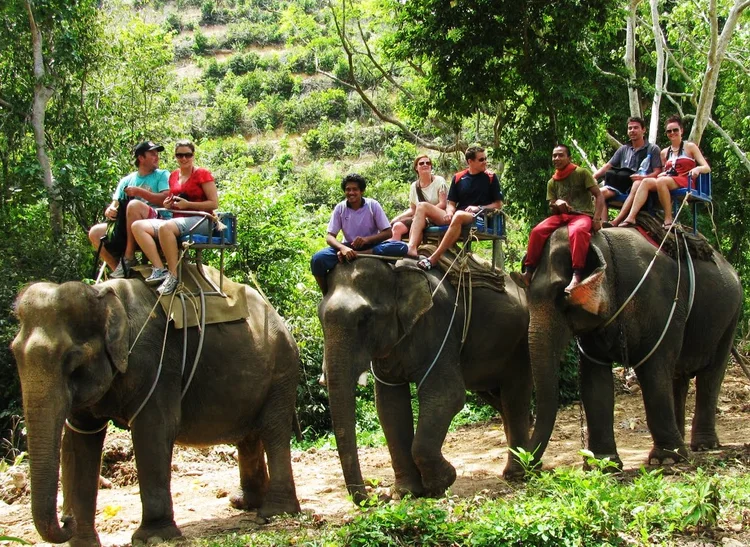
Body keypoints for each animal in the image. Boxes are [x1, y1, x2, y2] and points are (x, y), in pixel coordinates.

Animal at [11, 274, 301, 547]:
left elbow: (154, 430)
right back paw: (243, 503)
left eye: (73, 362)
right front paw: (83, 543)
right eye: (14, 354)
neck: (105, 297)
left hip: (282, 370)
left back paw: (274, 513)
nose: (65, 519)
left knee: (273, 430)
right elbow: (79, 441)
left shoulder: (156, 364)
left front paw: (153, 537)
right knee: (249, 436)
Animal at [319, 257, 532, 505]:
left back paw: (518, 474)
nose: (375, 497)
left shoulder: (439, 324)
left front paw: (442, 482)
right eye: (320, 318)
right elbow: (389, 406)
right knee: (498, 398)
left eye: (364, 319)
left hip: (519, 344)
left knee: (514, 396)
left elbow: (447, 394)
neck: (396, 273)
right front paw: (405, 492)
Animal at [524, 226, 742, 468]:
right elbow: (594, 381)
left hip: (730, 317)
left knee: (710, 376)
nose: (530, 467)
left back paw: (702, 446)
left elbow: (654, 372)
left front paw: (664, 460)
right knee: (679, 377)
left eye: (561, 296)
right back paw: (682, 444)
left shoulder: (659, 306)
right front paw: (603, 464)